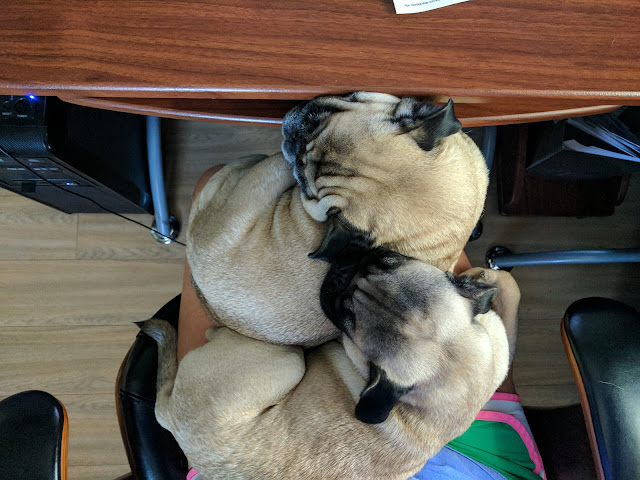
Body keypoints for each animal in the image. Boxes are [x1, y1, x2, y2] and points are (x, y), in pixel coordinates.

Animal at [140, 251, 512, 480]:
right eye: (388, 260)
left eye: (347, 319)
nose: (346, 271)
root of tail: (171, 415)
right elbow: (508, 284)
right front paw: (485, 275)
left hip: (287, 360)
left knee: (215, 332)